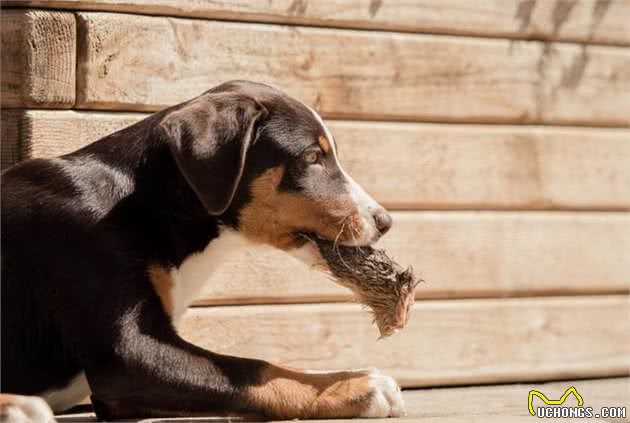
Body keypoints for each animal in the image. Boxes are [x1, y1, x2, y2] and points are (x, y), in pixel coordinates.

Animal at [0, 81, 402, 422]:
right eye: (312, 157)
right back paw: (19, 407)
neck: (148, 203)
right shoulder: (128, 355)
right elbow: (252, 370)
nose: (385, 221)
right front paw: (359, 385)